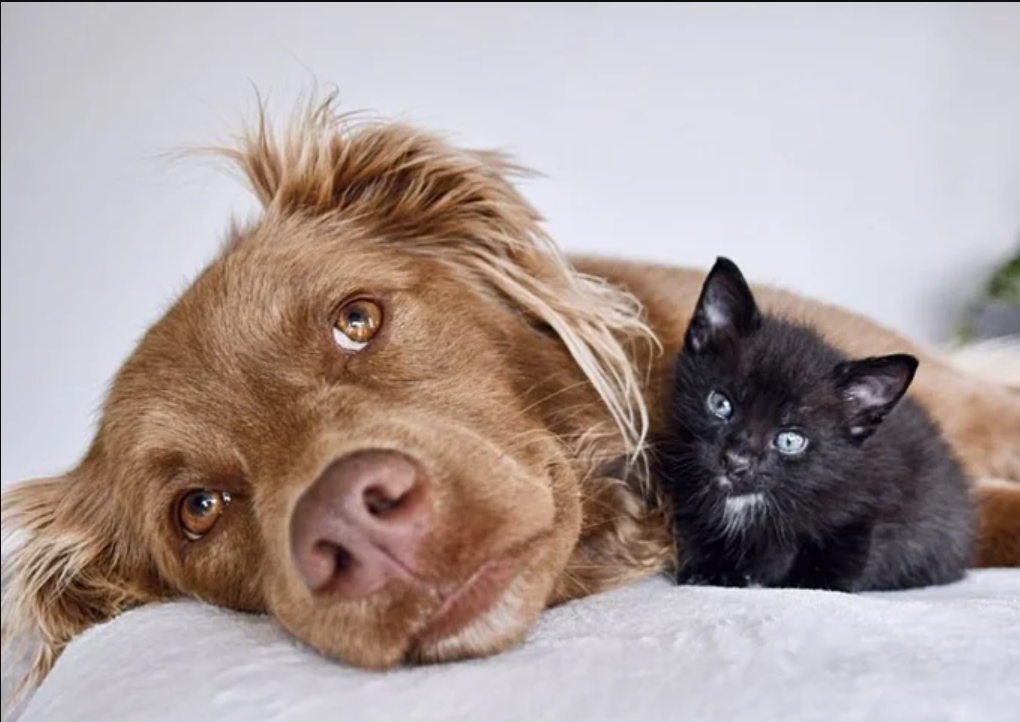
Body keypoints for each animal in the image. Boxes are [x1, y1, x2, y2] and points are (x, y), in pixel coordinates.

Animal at [656, 256, 975, 591]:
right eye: (720, 404)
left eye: (789, 440)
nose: (736, 461)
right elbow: (696, 532)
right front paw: (707, 572)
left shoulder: (866, 504)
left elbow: (839, 553)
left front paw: (809, 583)